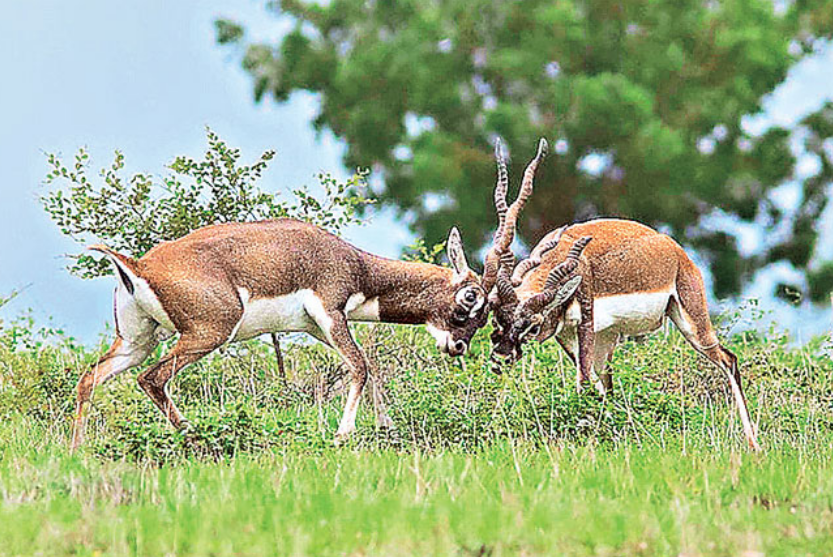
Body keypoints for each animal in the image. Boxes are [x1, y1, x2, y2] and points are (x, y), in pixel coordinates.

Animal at [71, 218, 490, 448]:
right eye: (471, 298)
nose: (459, 346)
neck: (357, 266)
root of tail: (138, 264)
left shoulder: (317, 326)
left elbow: (369, 368)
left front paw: (386, 428)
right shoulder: (331, 312)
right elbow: (360, 367)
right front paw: (342, 436)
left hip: (137, 342)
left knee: (90, 377)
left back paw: (76, 450)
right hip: (209, 333)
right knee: (152, 378)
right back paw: (196, 437)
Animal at [480, 139, 760, 452]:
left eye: (533, 325)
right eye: (496, 317)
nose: (501, 357)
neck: (565, 255)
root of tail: (675, 251)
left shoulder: (585, 322)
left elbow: (584, 382)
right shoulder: (567, 335)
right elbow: (593, 385)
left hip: (693, 324)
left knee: (729, 360)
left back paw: (754, 444)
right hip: (608, 339)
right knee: (608, 386)